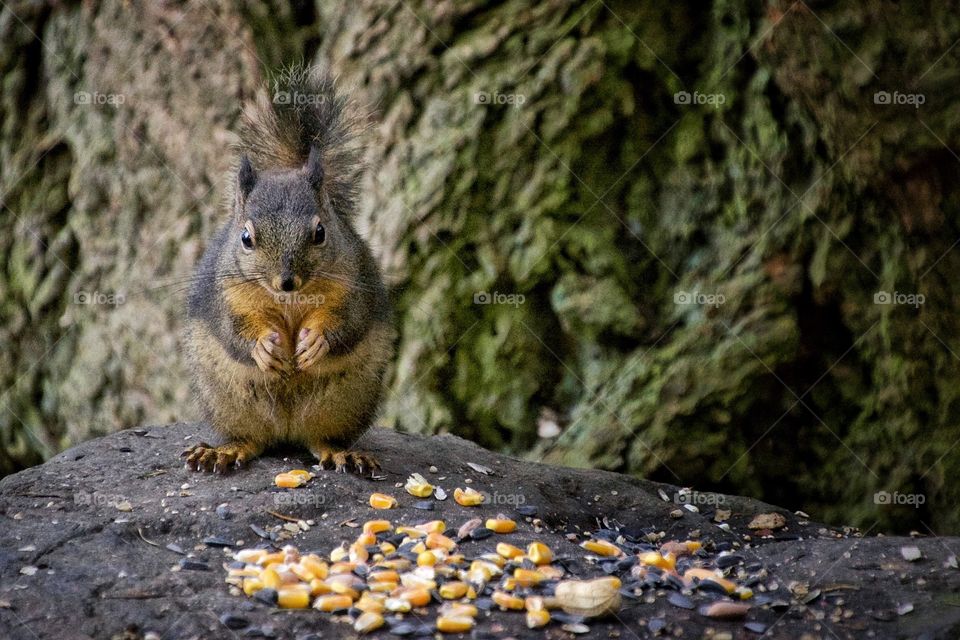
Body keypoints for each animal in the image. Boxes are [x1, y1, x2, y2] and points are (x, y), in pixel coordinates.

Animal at [182, 66, 396, 476]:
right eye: (246, 237)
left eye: (320, 233)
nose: (286, 282)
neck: (291, 301)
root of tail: (286, 432)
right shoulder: (223, 297)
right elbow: (234, 332)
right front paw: (265, 346)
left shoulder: (356, 286)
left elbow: (348, 322)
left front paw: (315, 342)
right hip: (229, 402)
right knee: (250, 439)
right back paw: (224, 451)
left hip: (343, 404)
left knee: (322, 440)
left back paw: (343, 453)